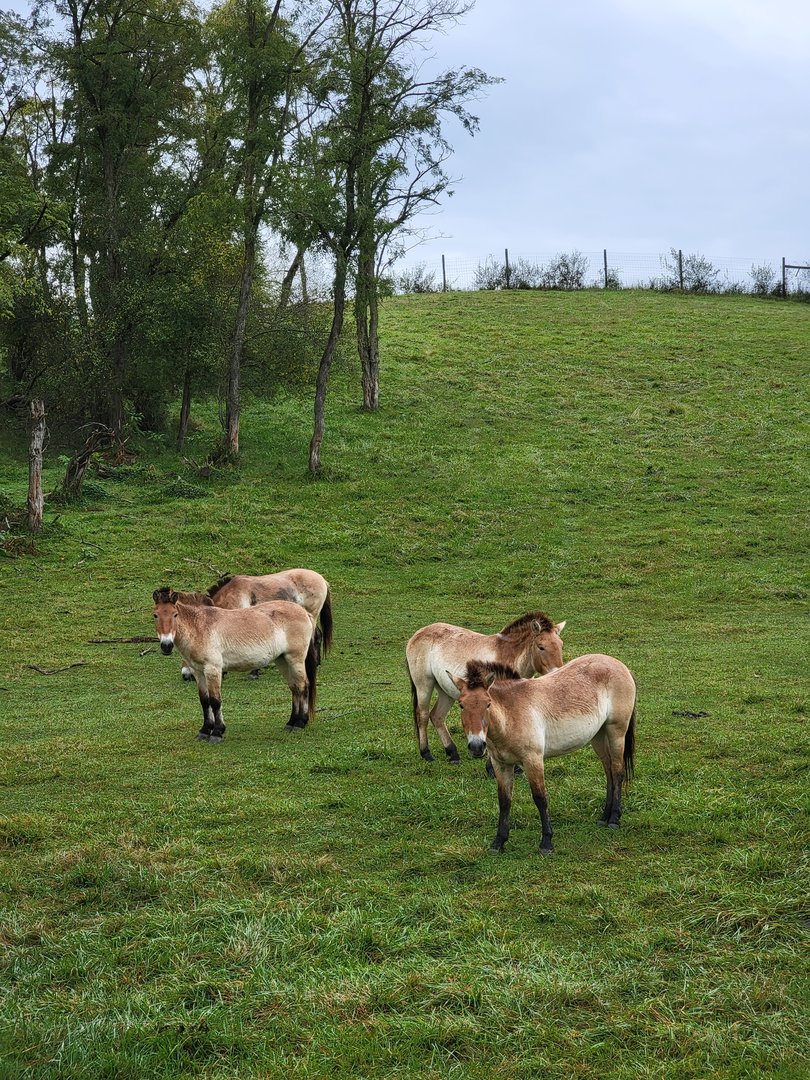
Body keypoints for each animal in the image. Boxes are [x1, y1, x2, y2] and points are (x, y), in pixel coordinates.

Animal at [152, 587, 317, 741]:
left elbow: (215, 701)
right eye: (155, 615)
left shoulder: (212, 669)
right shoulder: (198, 672)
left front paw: (217, 732)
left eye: (175, 614)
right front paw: (204, 731)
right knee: (294, 688)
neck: (199, 627)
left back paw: (300, 723)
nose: (166, 646)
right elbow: (204, 701)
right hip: (282, 660)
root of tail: (304, 612)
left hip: (295, 659)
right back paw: (291, 723)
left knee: (303, 685)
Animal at [406, 611, 566, 764]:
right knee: (423, 715)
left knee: (437, 716)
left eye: (561, 645)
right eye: (541, 647)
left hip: (446, 691)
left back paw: (453, 754)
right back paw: (426, 754)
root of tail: (417, 634)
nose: (558, 672)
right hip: (424, 686)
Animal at [449, 655, 636, 854]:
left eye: (488, 704)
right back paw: (604, 817)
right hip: (599, 736)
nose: (476, 746)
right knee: (608, 772)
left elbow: (540, 798)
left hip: (616, 732)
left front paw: (546, 842)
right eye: (461, 705)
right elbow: (504, 801)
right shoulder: (501, 764)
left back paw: (614, 819)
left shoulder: (533, 760)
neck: (511, 714)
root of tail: (620, 666)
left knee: (617, 771)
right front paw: (498, 842)